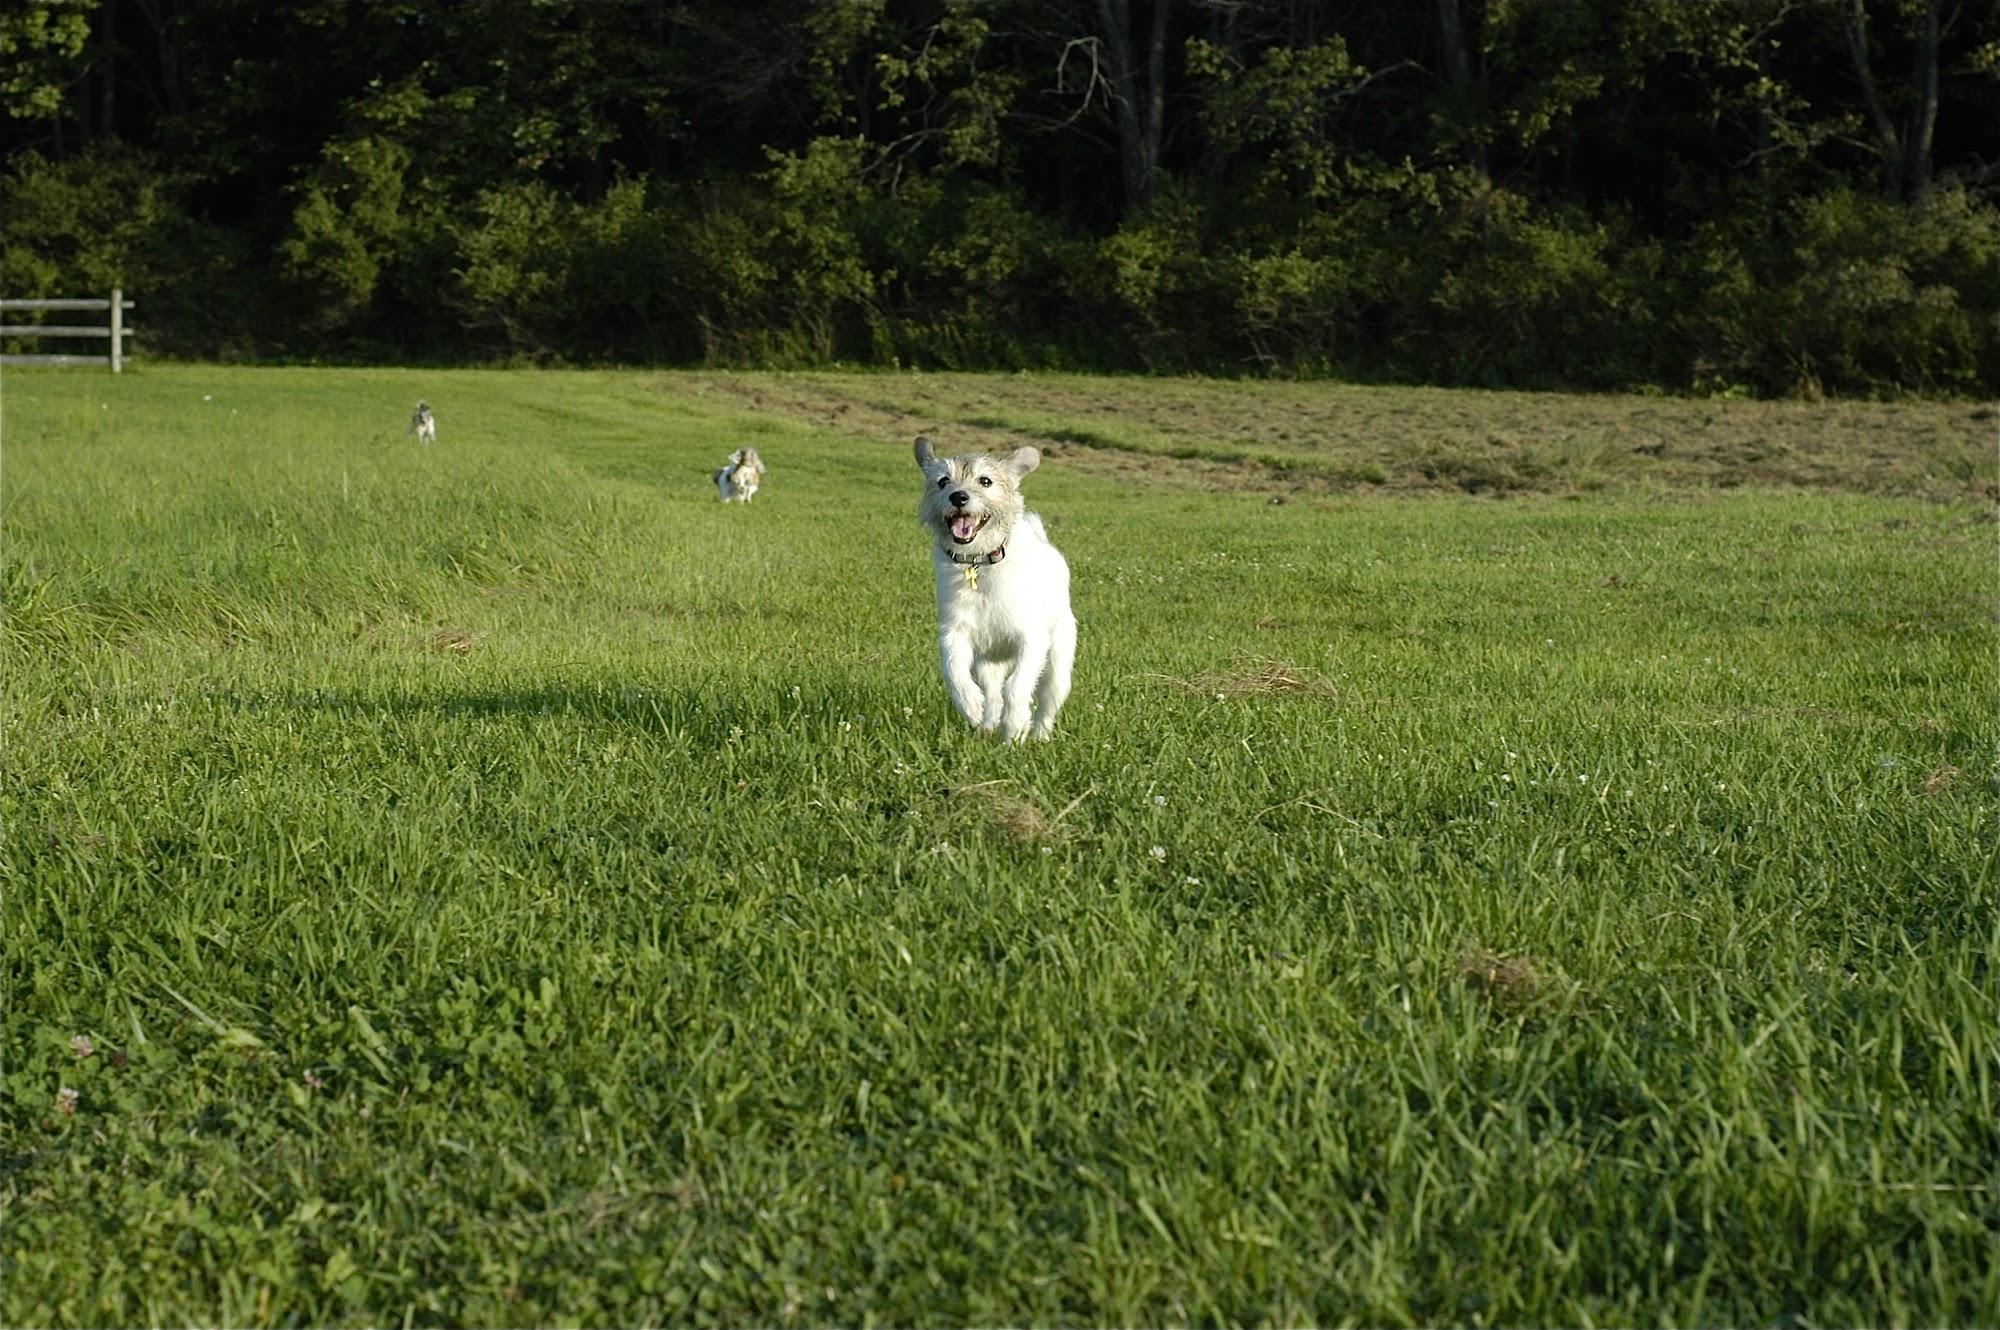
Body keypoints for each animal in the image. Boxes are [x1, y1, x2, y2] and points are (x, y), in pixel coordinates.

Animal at [916, 438, 1080, 740]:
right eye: (943, 481)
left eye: (985, 481)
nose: (958, 497)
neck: (979, 562)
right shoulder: (954, 633)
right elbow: (953, 669)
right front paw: (970, 705)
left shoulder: (1032, 640)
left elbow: (1017, 686)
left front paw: (1015, 728)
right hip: (988, 662)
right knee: (993, 693)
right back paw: (989, 723)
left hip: (1058, 663)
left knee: (1048, 702)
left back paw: (1039, 735)